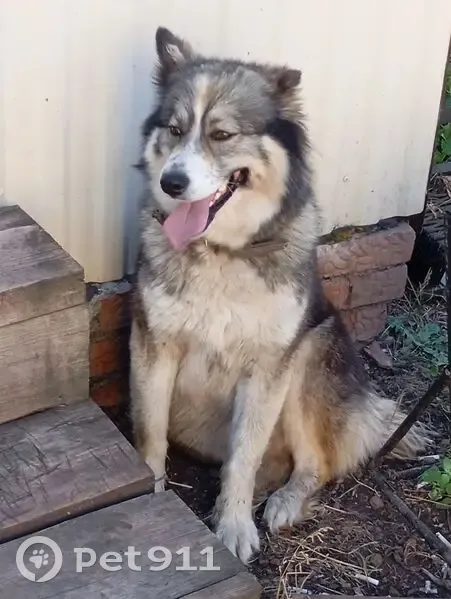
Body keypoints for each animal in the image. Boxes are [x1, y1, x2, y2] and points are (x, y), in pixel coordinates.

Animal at [131, 26, 427, 564]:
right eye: (175, 129)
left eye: (222, 135)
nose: (171, 181)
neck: (223, 252)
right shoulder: (153, 346)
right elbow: (150, 435)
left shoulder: (269, 366)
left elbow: (243, 457)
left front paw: (233, 525)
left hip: (309, 355)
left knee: (317, 464)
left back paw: (285, 500)